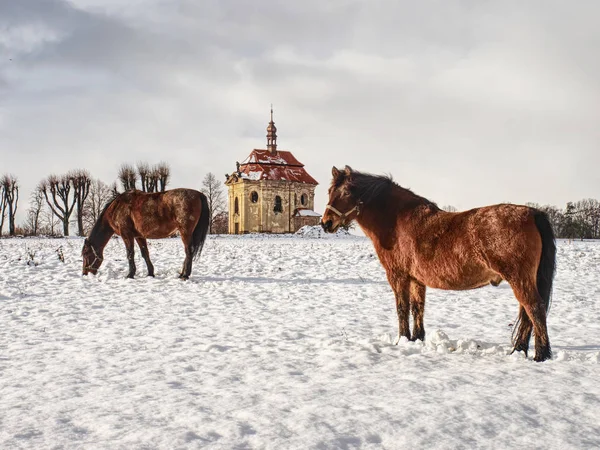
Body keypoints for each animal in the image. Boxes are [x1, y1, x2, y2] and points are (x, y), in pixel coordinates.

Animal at [324, 166, 556, 362]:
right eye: (329, 191)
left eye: (346, 192)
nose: (326, 223)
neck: (397, 223)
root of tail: (532, 213)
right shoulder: (417, 279)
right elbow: (417, 308)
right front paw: (417, 339)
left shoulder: (398, 276)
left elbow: (402, 308)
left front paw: (402, 340)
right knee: (526, 314)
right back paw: (518, 350)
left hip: (519, 279)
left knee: (534, 309)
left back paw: (540, 355)